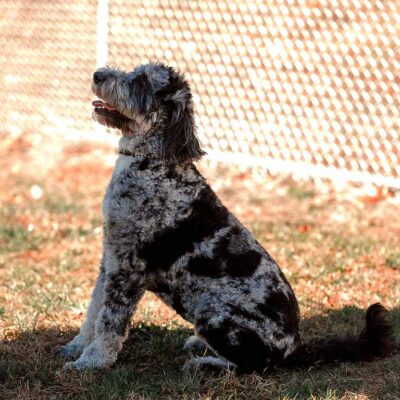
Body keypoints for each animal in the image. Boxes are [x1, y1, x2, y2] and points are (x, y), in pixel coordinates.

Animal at [57, 62, 396, 372]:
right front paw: (76, 347)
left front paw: (91, 362)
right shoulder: (110, 258)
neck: (153, 165)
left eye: (141, 81)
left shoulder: (128, 268)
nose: (98, 74)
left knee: (253, 365)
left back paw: (205, 363)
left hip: (215, 312)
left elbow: (109, 322)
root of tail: (295, 349)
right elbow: (93, 310)